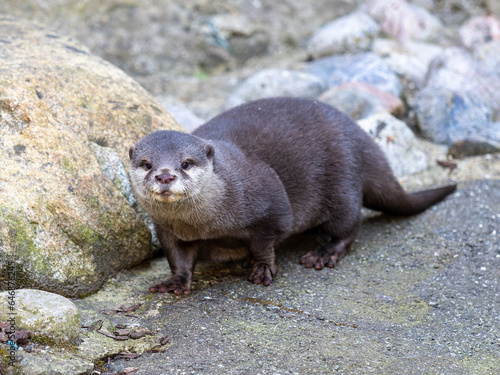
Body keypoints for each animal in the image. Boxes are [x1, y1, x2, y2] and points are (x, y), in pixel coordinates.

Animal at [130, 96, 458, 294]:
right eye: (146, 164)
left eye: (186, 163)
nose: (165, 175)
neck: (206, 225)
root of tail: (360, 136)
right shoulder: (166, 230)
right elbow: (178, 258)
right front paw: (175, 281)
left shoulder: (270, 204)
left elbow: (265, 241)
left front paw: (262, 268)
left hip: (342, 182)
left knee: (349, 226)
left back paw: (324, 253)